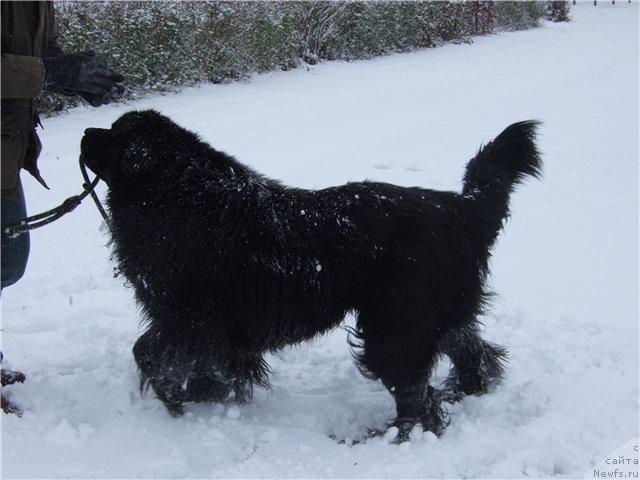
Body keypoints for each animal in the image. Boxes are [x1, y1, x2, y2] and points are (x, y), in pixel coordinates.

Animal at [79, 112, 540, 442]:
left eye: (115, 133)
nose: (84, 131)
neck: (172, 193)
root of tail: (461, 210)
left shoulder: (186, 315)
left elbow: (147, 351)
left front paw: (175, 398)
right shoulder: (210, 327)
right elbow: (209, 364)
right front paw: (205, 394)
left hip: (396, 324)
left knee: (416, 396)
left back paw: (387, 438)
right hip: (428, 311)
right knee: (470, 350)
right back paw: (465, 390)